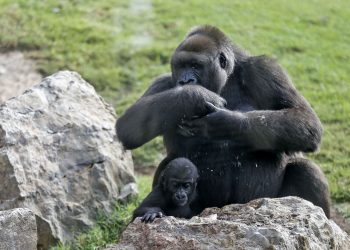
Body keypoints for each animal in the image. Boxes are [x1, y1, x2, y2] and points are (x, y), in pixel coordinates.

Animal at [115, 24, 330, 217]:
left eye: (195, 65)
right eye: (180, 65)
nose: (185, 81)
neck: (227, 78)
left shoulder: (264, 68)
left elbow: (305, 118)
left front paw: (226, 122)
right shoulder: (163, 82)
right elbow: (130, 126)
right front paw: (194, 96)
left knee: (306, 170)